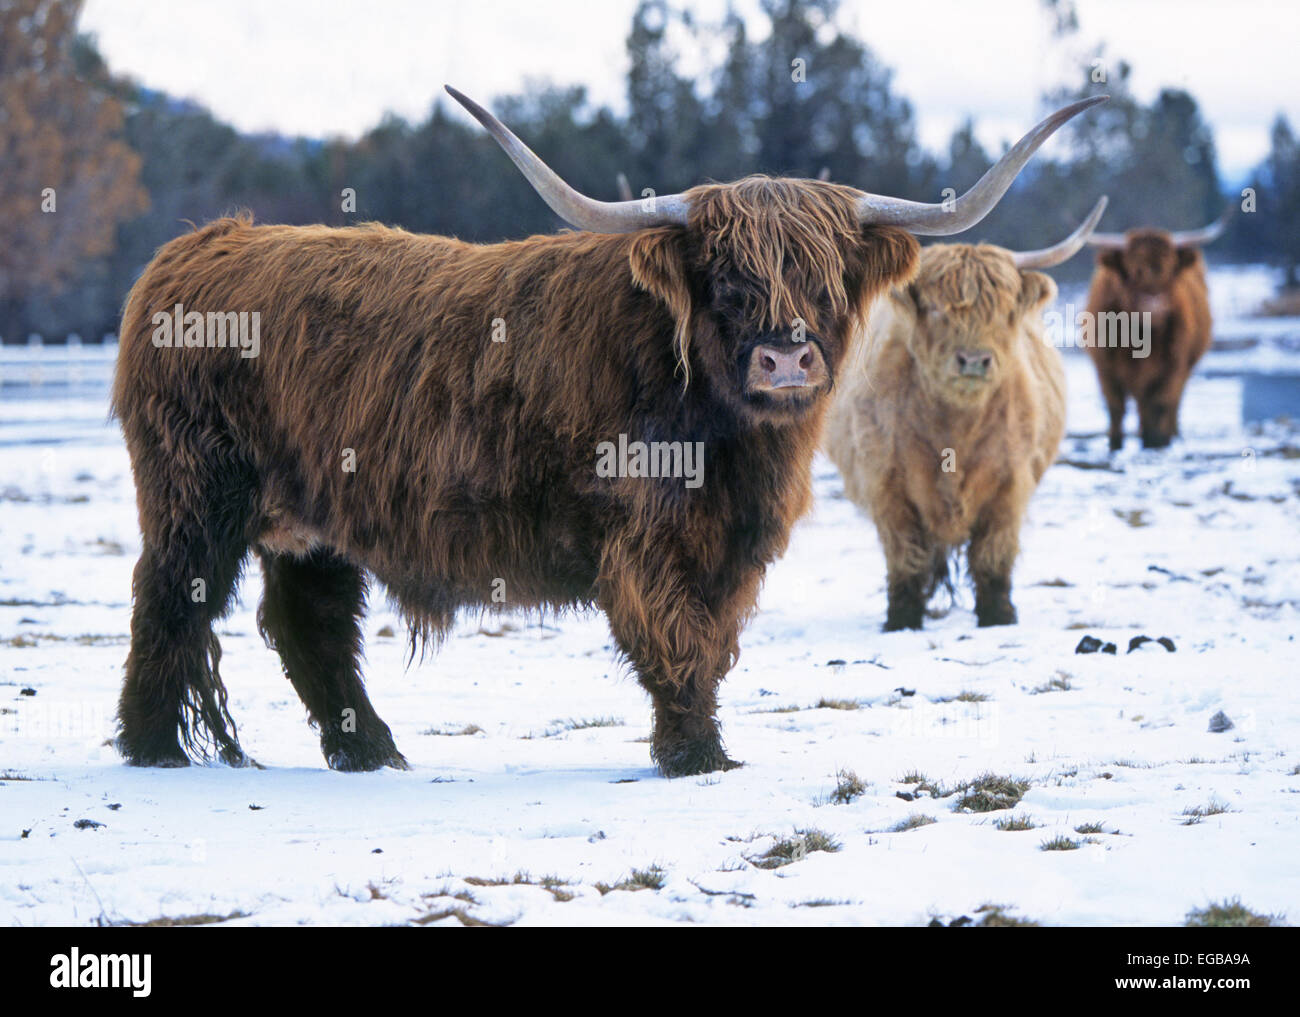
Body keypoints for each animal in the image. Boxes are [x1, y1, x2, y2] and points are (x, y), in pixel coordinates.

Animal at [821, 198, 1107, 629]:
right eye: (936, 310)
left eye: (1004, 312)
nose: (973, 361)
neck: (955, 431)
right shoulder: (887, 485)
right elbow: (905, 556)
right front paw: (902, 619)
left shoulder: (1009, 485)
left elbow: (993, 555)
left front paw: (998, 615)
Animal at [1086, 210, 1227, 449]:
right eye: (1133, 270)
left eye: (1170, 269)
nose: (1155, 306)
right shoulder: (1105, 369)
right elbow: (1116, 408)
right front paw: (1115, 444)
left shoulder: (1172, 369)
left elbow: (1160, 404)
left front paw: (1156, 442)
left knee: (1169, 405)